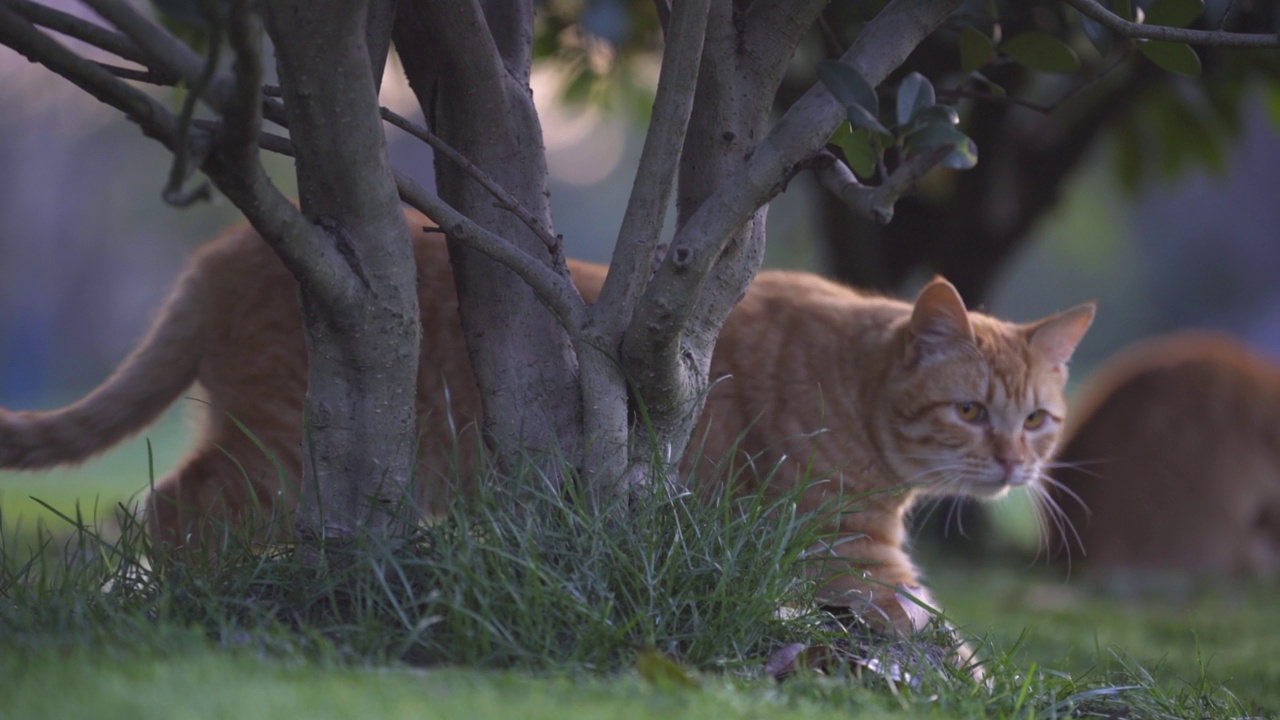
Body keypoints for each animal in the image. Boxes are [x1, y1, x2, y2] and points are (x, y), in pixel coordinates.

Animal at [2, 208, 1100, 632]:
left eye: (1040, 420)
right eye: (971, 412)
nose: (1015, 464)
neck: (856, 386)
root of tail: (228, 243)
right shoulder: (850, 551)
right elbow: (940, 636)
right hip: (281, 455)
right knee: (168, 513)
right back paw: (167, 607)